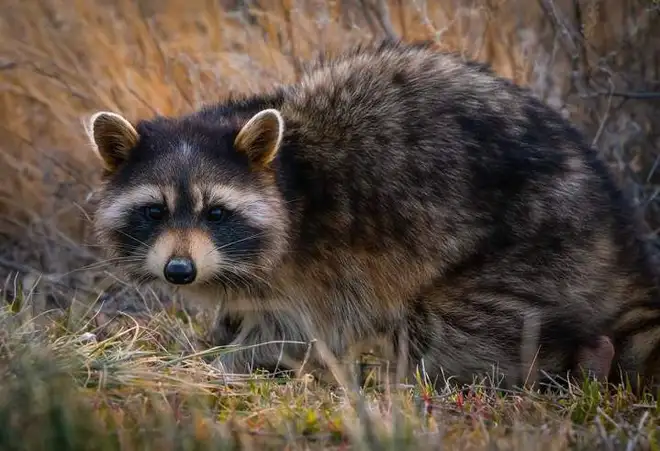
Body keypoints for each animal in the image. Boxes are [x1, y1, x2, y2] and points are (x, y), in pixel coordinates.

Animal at [85, 39, 660, 391]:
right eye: (154, 210)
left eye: (217, 213)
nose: (179, 271)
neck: (288, 177)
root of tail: (616, 234)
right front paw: (218, 335)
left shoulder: (318, 266)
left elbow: (288, 332)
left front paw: (218, 365)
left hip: (534, 246)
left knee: (457, 329)